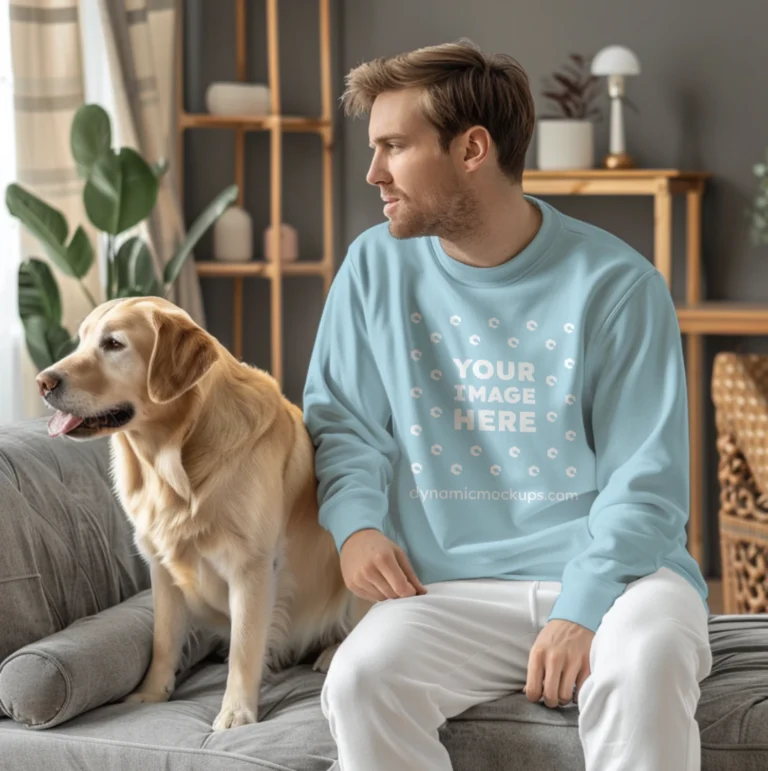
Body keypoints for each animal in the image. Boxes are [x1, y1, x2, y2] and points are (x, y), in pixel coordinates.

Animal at [35, 294, 368, 728]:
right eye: (81, 340)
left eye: (113, 344)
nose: (43, 382)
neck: (173, 459)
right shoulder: (161, 567)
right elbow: (163, 640)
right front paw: (152, 693)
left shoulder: (251, 567)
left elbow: (245, 646)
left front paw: (236, 712)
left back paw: (333, 652)